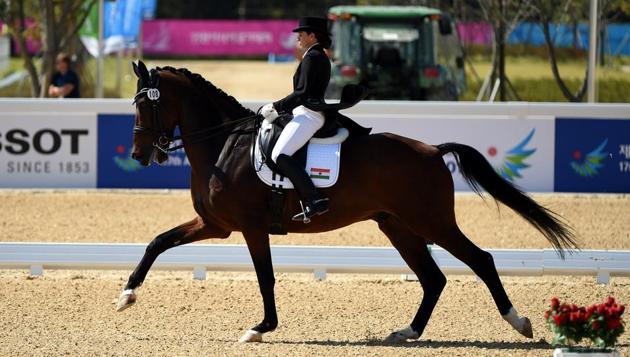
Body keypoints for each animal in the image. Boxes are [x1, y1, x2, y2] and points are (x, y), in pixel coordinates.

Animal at [117, 60, 576, 342]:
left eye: (144, 104)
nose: (139, 154)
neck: (223, 144)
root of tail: (432, 150)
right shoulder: (216, 225)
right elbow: (157, 242)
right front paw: (126, 296)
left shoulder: (249, 227)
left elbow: (265, 277)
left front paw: (261, 327)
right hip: (397, 225)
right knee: (433, 278)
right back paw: (406, 333)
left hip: (432, 223)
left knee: (480, 260)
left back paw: (519, 322)